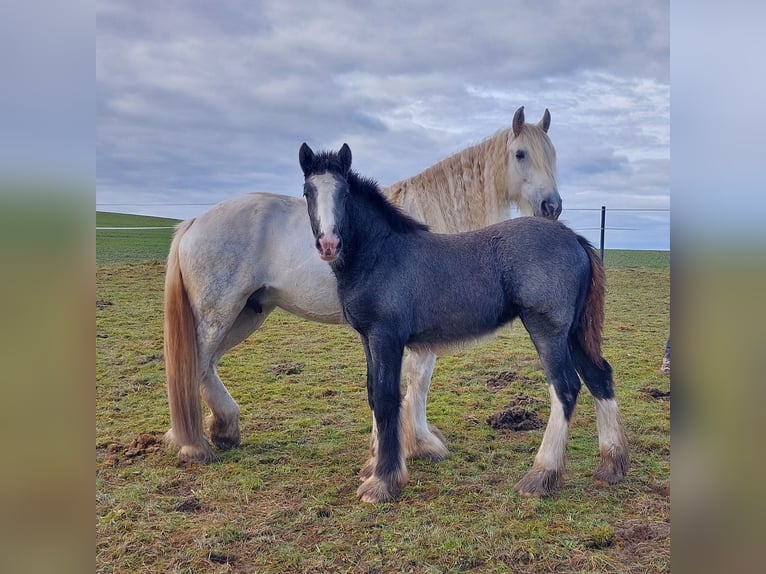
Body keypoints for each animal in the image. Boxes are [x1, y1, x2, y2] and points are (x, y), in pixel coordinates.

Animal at [162, 109, 564, 468]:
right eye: (521, 154)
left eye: (553, 154)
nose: (552, 206)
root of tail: (194, 221)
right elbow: (417, 379)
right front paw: (418, 444)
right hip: (218, 315)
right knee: (195, 364)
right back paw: (194, 445)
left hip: (246, 314)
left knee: (205, 366)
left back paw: (219, 430)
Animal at [298, 144, 632, 504]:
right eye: (308, 192)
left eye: (344, 193)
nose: (328, 244)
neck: (381, 254)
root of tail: (573, 237)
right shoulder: (368, 339)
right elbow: (374, 395)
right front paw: (374, 467)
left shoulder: (386, 336)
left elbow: (387, 398)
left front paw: (383, 481)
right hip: (573, 332)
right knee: (599, 377)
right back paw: (611, 466)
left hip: (548, 330)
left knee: (565, 387)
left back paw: (541, 475)